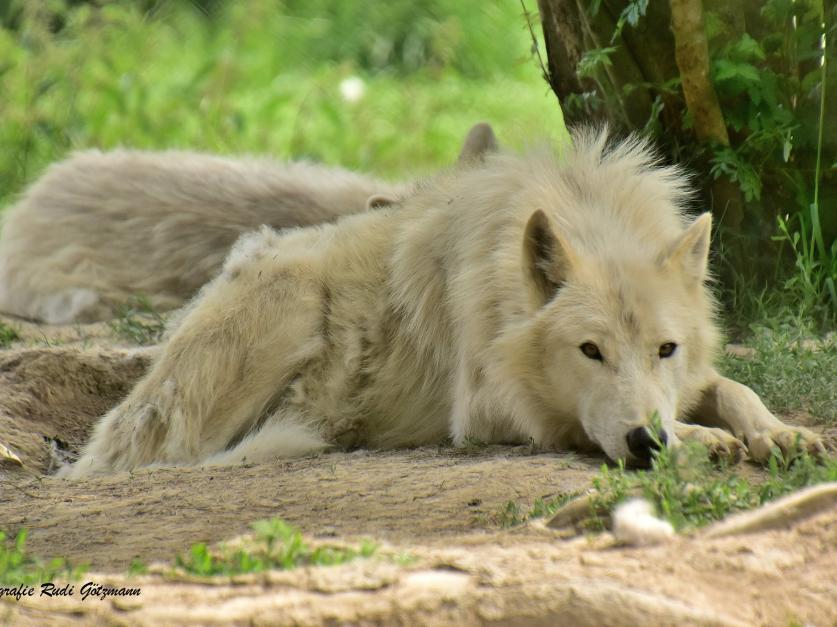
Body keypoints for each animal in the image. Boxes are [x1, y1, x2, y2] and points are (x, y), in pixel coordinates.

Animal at [63, 130, 824, 478]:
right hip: (288, 306)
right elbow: (582, 423)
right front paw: (699, 439)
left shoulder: (688, 375)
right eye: (589, 351)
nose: (647, 442)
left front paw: (780, 432)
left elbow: (734, 387)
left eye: (665, 349)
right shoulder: (488, 409)